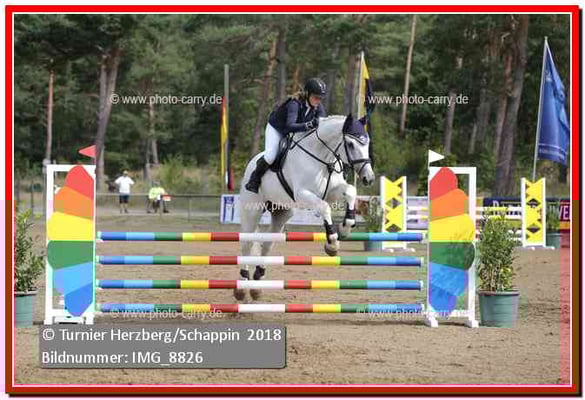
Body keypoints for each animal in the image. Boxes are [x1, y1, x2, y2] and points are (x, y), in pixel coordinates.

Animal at [235, 114, 375, 300]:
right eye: (351, 144)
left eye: (367, 144)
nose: (369, 178)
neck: (323, 157)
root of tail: (249, 165)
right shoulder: (302, 194)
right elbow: (324, 208)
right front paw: (332, 244)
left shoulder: (331, 192)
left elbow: (351, 191)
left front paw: (345, 228)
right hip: (252, 211)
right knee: (247, 243)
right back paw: (242, 287)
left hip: (282, 213)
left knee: (267, 244)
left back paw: (257, 284)